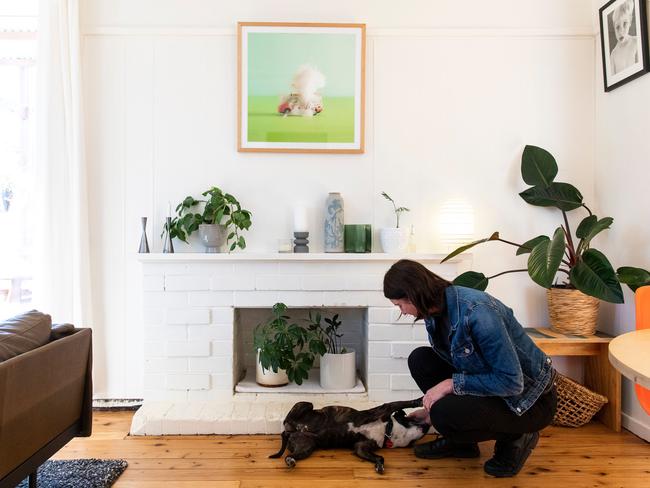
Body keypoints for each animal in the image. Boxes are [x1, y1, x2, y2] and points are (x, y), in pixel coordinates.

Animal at [268, 398, 426, 474]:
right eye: (410, 420)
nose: (426, 425)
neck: (388, 429)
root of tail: (292, 430)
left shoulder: (362, 447)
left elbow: (379, 457)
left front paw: (379, 465)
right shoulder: (384, 409)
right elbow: (402, 403)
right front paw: (420, 400)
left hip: (306, 446)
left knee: (290, 453)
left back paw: (290, 460)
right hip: (306, 405)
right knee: (290, 419)